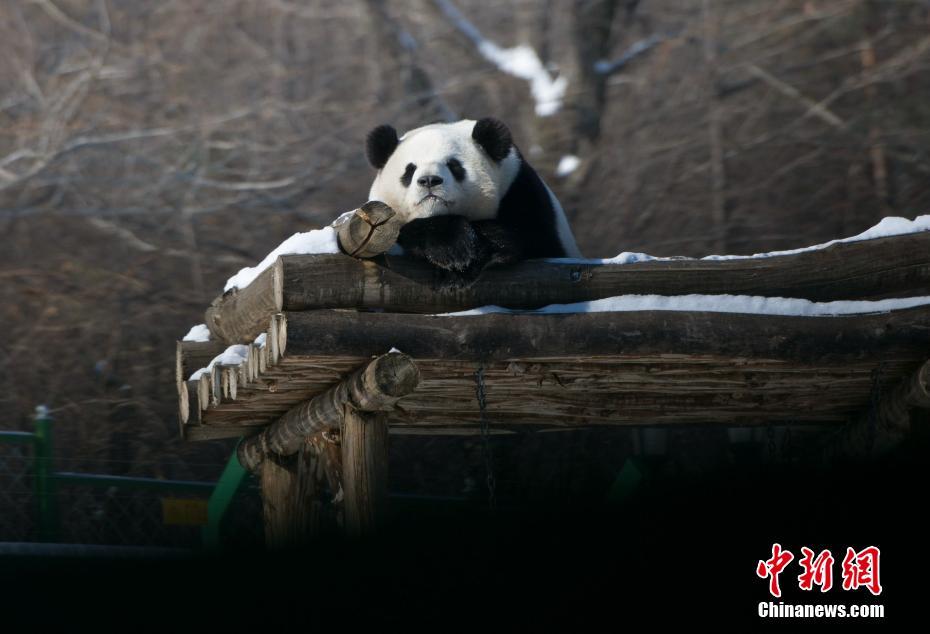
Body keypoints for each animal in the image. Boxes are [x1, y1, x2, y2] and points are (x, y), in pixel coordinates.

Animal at [364, 116, 576, 286]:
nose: (429, 180)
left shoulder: (520, 190)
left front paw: (463, 258)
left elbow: (532, 239)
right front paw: (450, 248)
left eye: (454, 165)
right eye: (410, 170)